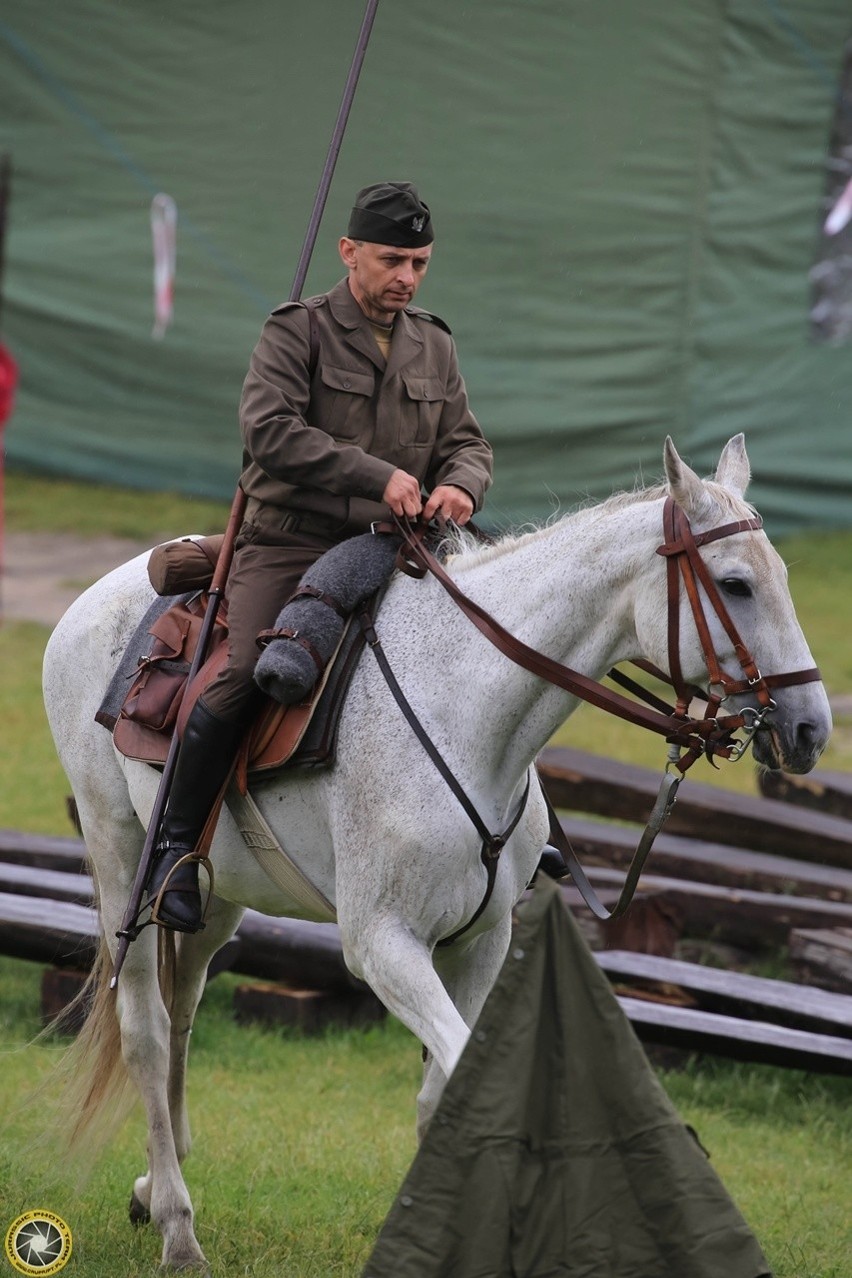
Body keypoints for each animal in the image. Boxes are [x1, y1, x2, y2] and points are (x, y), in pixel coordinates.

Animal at [41, 437, 832, 1267]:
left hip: (213, 892)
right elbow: (460, 1085)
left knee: (185, 1006)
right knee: (147, 1028)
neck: (469, 711)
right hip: (121, 860)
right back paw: (176, 1225)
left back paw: (151, 1186)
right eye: (735, 584)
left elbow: (441, 1095)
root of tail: (96, 597)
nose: (810, 728)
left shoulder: (482, 943)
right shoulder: (385, 944)